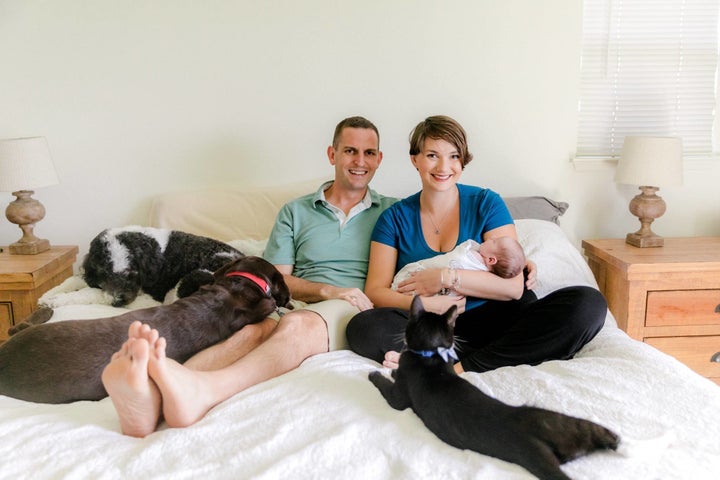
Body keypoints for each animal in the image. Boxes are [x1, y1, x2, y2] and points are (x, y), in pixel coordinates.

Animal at [368, 296, 620, 480]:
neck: (431, 355)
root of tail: (531, 442)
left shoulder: (398, 399)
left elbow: (386, 385)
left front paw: (378, 373)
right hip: (563, 430)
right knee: (590, 432)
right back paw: (614, 440)